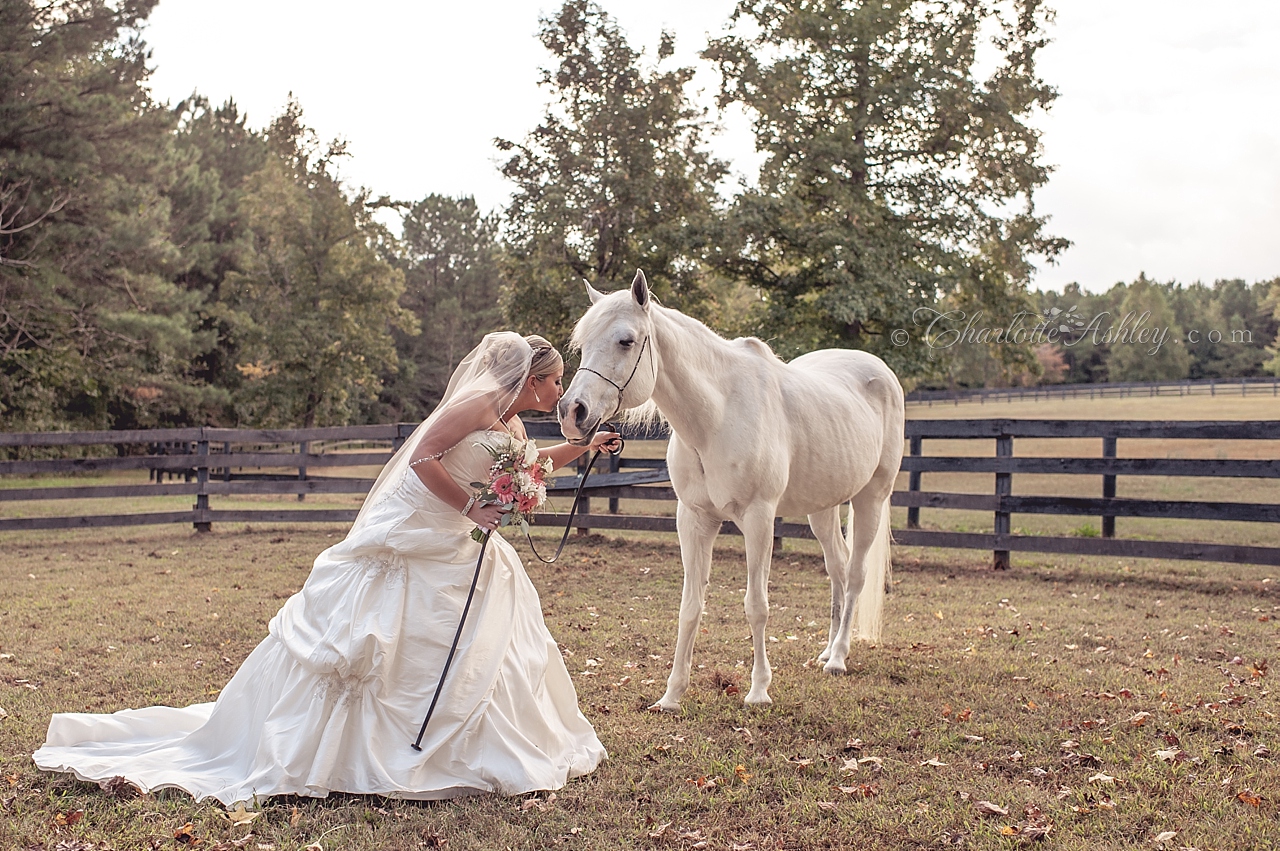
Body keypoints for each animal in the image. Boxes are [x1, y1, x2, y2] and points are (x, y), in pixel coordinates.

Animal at [558, 272, 901, 711]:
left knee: (856, 574)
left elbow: (756, 606)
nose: (572, 413)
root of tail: (879, 371)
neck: (717, 417)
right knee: (838, 568)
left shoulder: (759, 519)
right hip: (821, 508)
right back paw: (826, 651)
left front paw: (758, 691)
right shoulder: (694, 519)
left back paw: (838, 658)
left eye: (626, 340)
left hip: (871, 498)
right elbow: (690, 607)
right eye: (583, 344)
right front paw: (671, 696)